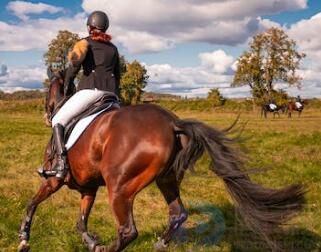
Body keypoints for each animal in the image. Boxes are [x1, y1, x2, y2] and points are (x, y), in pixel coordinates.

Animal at [18, 72, 304, 251]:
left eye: (46, 93)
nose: (46, 114)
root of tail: (172, 124)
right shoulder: (87, 188)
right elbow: (81, 222)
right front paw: (90, 242)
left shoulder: (54, 181)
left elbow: (32, 203)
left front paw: (23, 238)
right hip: (166, 180)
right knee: (178, 213)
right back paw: (159, 244)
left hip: (119, 188)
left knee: (128, 231)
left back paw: (109, 248)